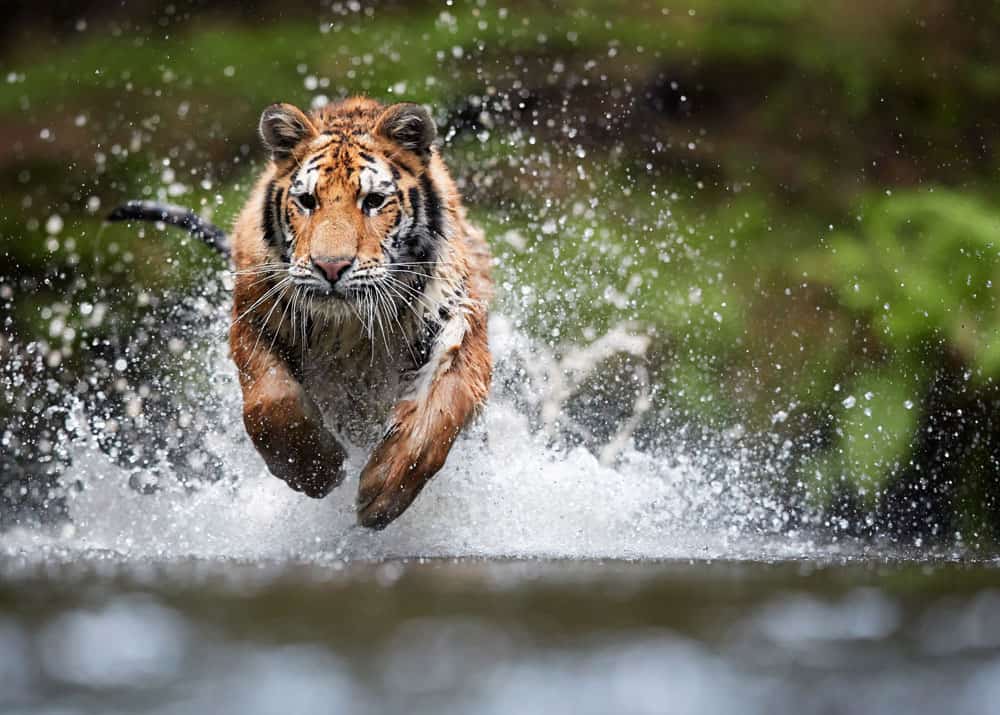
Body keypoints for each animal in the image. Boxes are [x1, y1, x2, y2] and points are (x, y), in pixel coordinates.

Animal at [111, 98, 494, 528]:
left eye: (373, 201)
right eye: (308, 201)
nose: (331, 267)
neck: (348, 329)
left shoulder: (458, 323)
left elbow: (439, 410)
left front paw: (381, 494)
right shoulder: (252, 319)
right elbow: (270, 404)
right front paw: (317, 472)